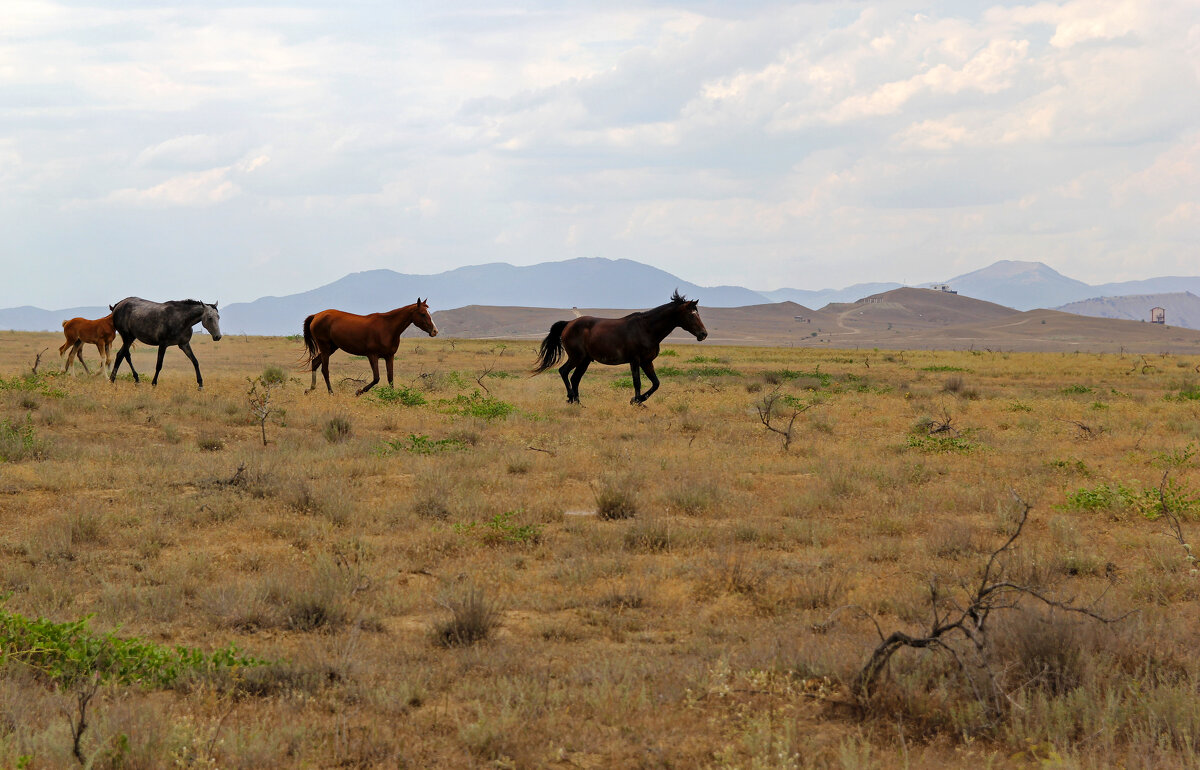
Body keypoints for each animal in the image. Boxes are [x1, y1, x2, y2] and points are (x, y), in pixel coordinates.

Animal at [302, 298, 439, 395]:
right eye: (422, 314)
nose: (435, 331)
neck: (387, 328)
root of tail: (316, 315)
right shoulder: (372, 356)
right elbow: (377, 378)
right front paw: (358, 392)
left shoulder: (389, 356)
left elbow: (390, 378)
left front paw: (392, 397)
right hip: (325, 348)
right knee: (325, 370)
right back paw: (331, 393)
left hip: (331, 348)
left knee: (315, 363)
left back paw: (309, 389)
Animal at [532, 287, 705, 405]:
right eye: (691, 315)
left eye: (698, 313)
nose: (703, 334)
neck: (646, 329)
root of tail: (568, 324)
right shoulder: (635, 361)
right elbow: (637, 382)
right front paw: (636, 401)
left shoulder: (647, 361)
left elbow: (656, 383)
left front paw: (638, 400)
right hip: (577, 357)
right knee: (564, 371)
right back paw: (571, 399)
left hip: (585, 360)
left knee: (575, 378)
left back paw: (578, 402)